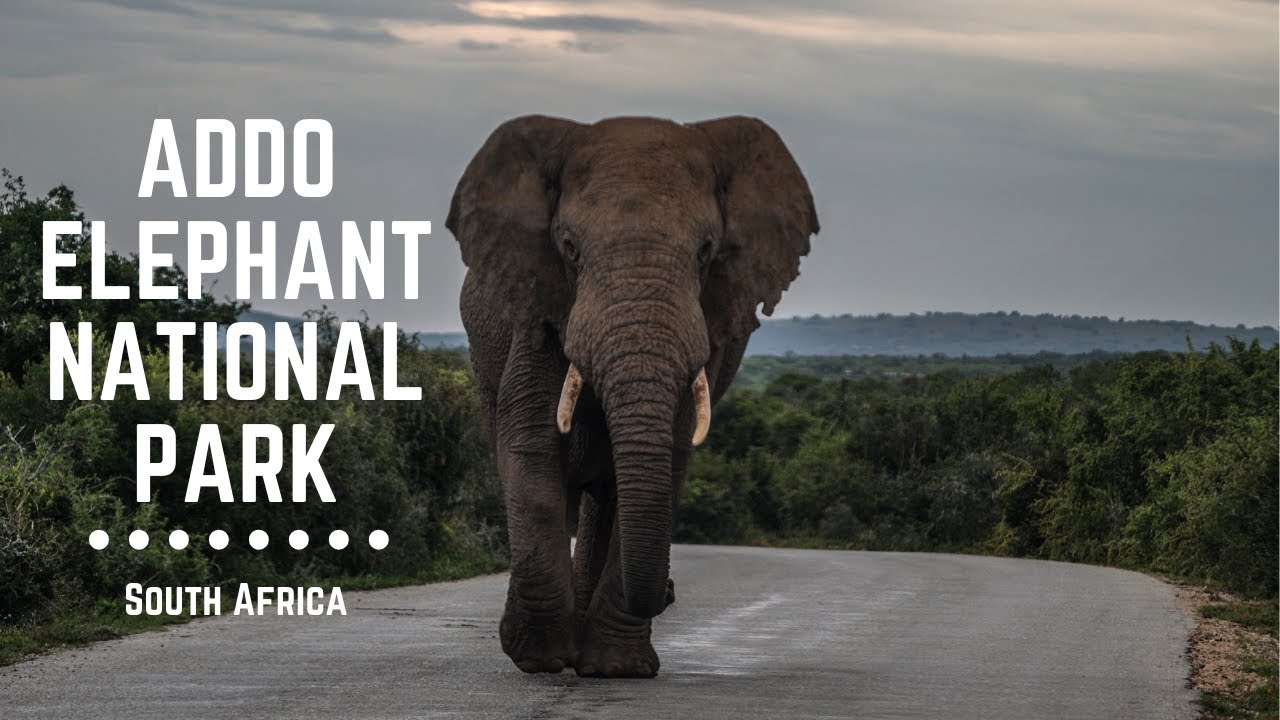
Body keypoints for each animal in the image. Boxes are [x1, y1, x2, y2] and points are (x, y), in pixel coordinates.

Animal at [446, 115, 818, 678]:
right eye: (569, 248)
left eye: (706, 252)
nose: (669, 592)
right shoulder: (539, 308)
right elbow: (531, 446)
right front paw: (537, 658)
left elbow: (667, 459)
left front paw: (616, 668)